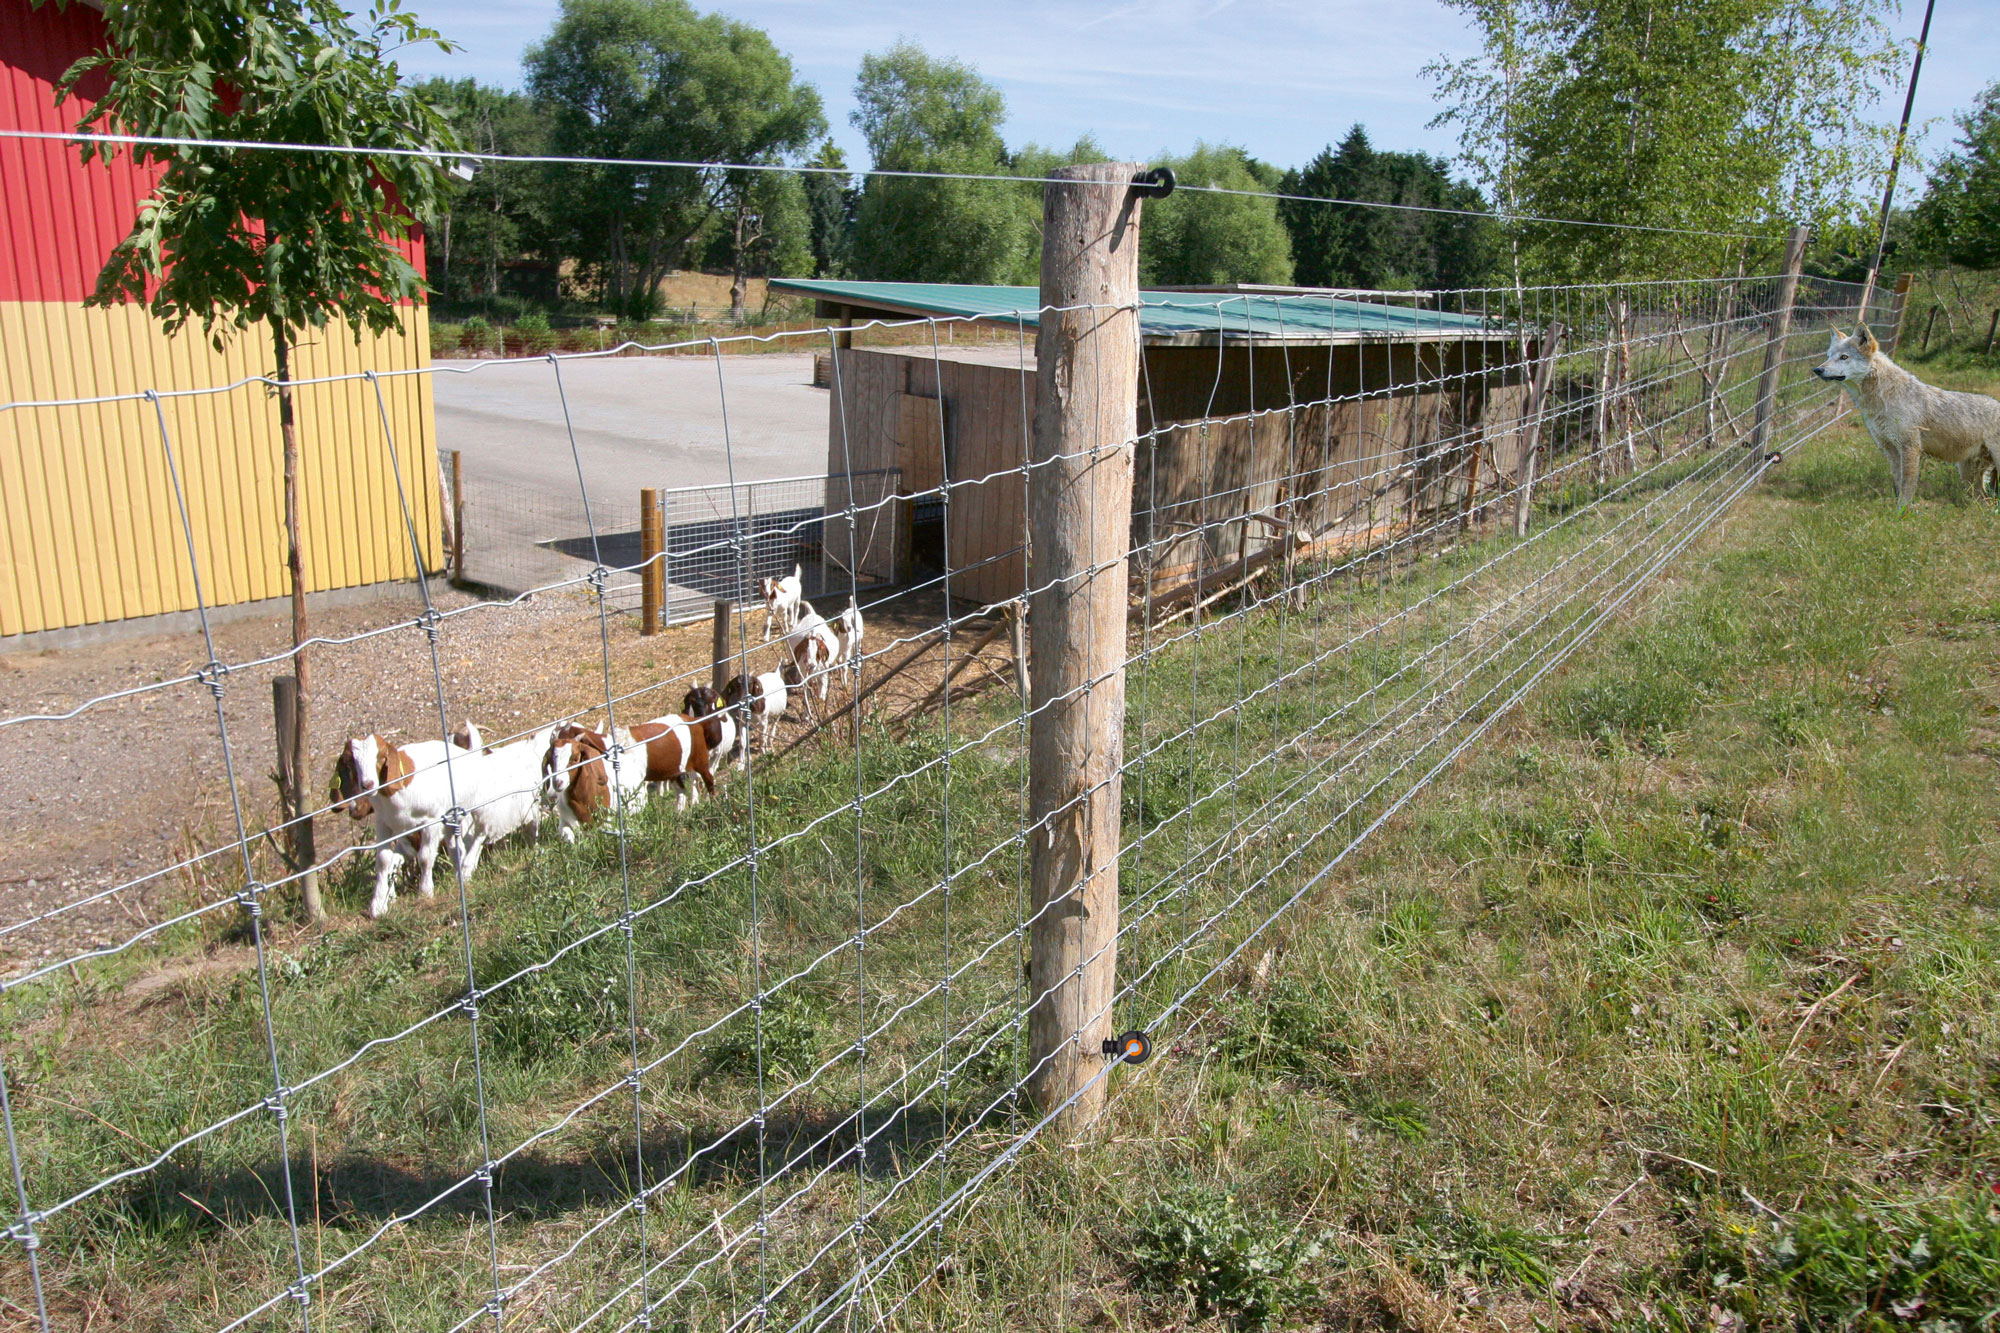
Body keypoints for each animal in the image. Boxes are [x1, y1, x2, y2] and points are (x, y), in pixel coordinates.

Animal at [1816, 324, 2000, 506]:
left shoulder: (1910, 448)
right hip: (1968, 477)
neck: (1884, 398)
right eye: (1828, 356)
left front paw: (1904, 512)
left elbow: (1906, 489)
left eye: (1844, 357)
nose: (1817, 369)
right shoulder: (1890, 450)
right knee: (1986, 501)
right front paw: (1896, 512)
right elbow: (1898, 485)